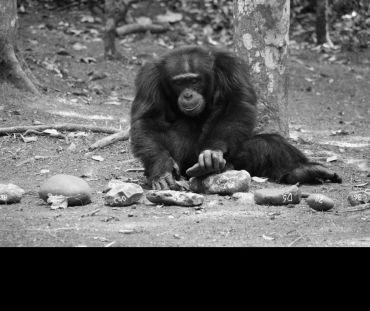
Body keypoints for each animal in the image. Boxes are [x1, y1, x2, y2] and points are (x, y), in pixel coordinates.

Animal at [129, 44, 342, 190]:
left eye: (194, 80)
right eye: (179, 83)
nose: (188, 94)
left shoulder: (230, 67)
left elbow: (236, 104)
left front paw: (212, 153)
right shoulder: (149, 78)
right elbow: (148, 120)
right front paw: (162, 168)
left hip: (237, 160)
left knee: (267, 143)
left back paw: (304, 171)